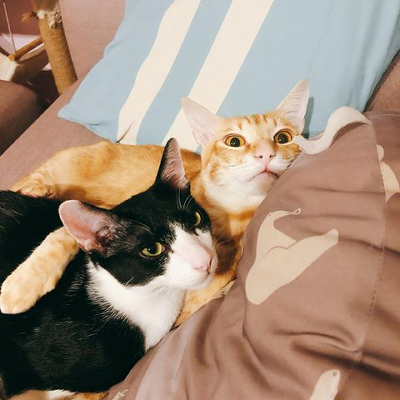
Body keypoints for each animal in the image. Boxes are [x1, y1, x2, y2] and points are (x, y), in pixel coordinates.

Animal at [0, 79, 309, 326]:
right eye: (234, 141)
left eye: (283, 138)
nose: (266, 154)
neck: (228, 211)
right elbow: (64, 233)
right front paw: (20, 287)